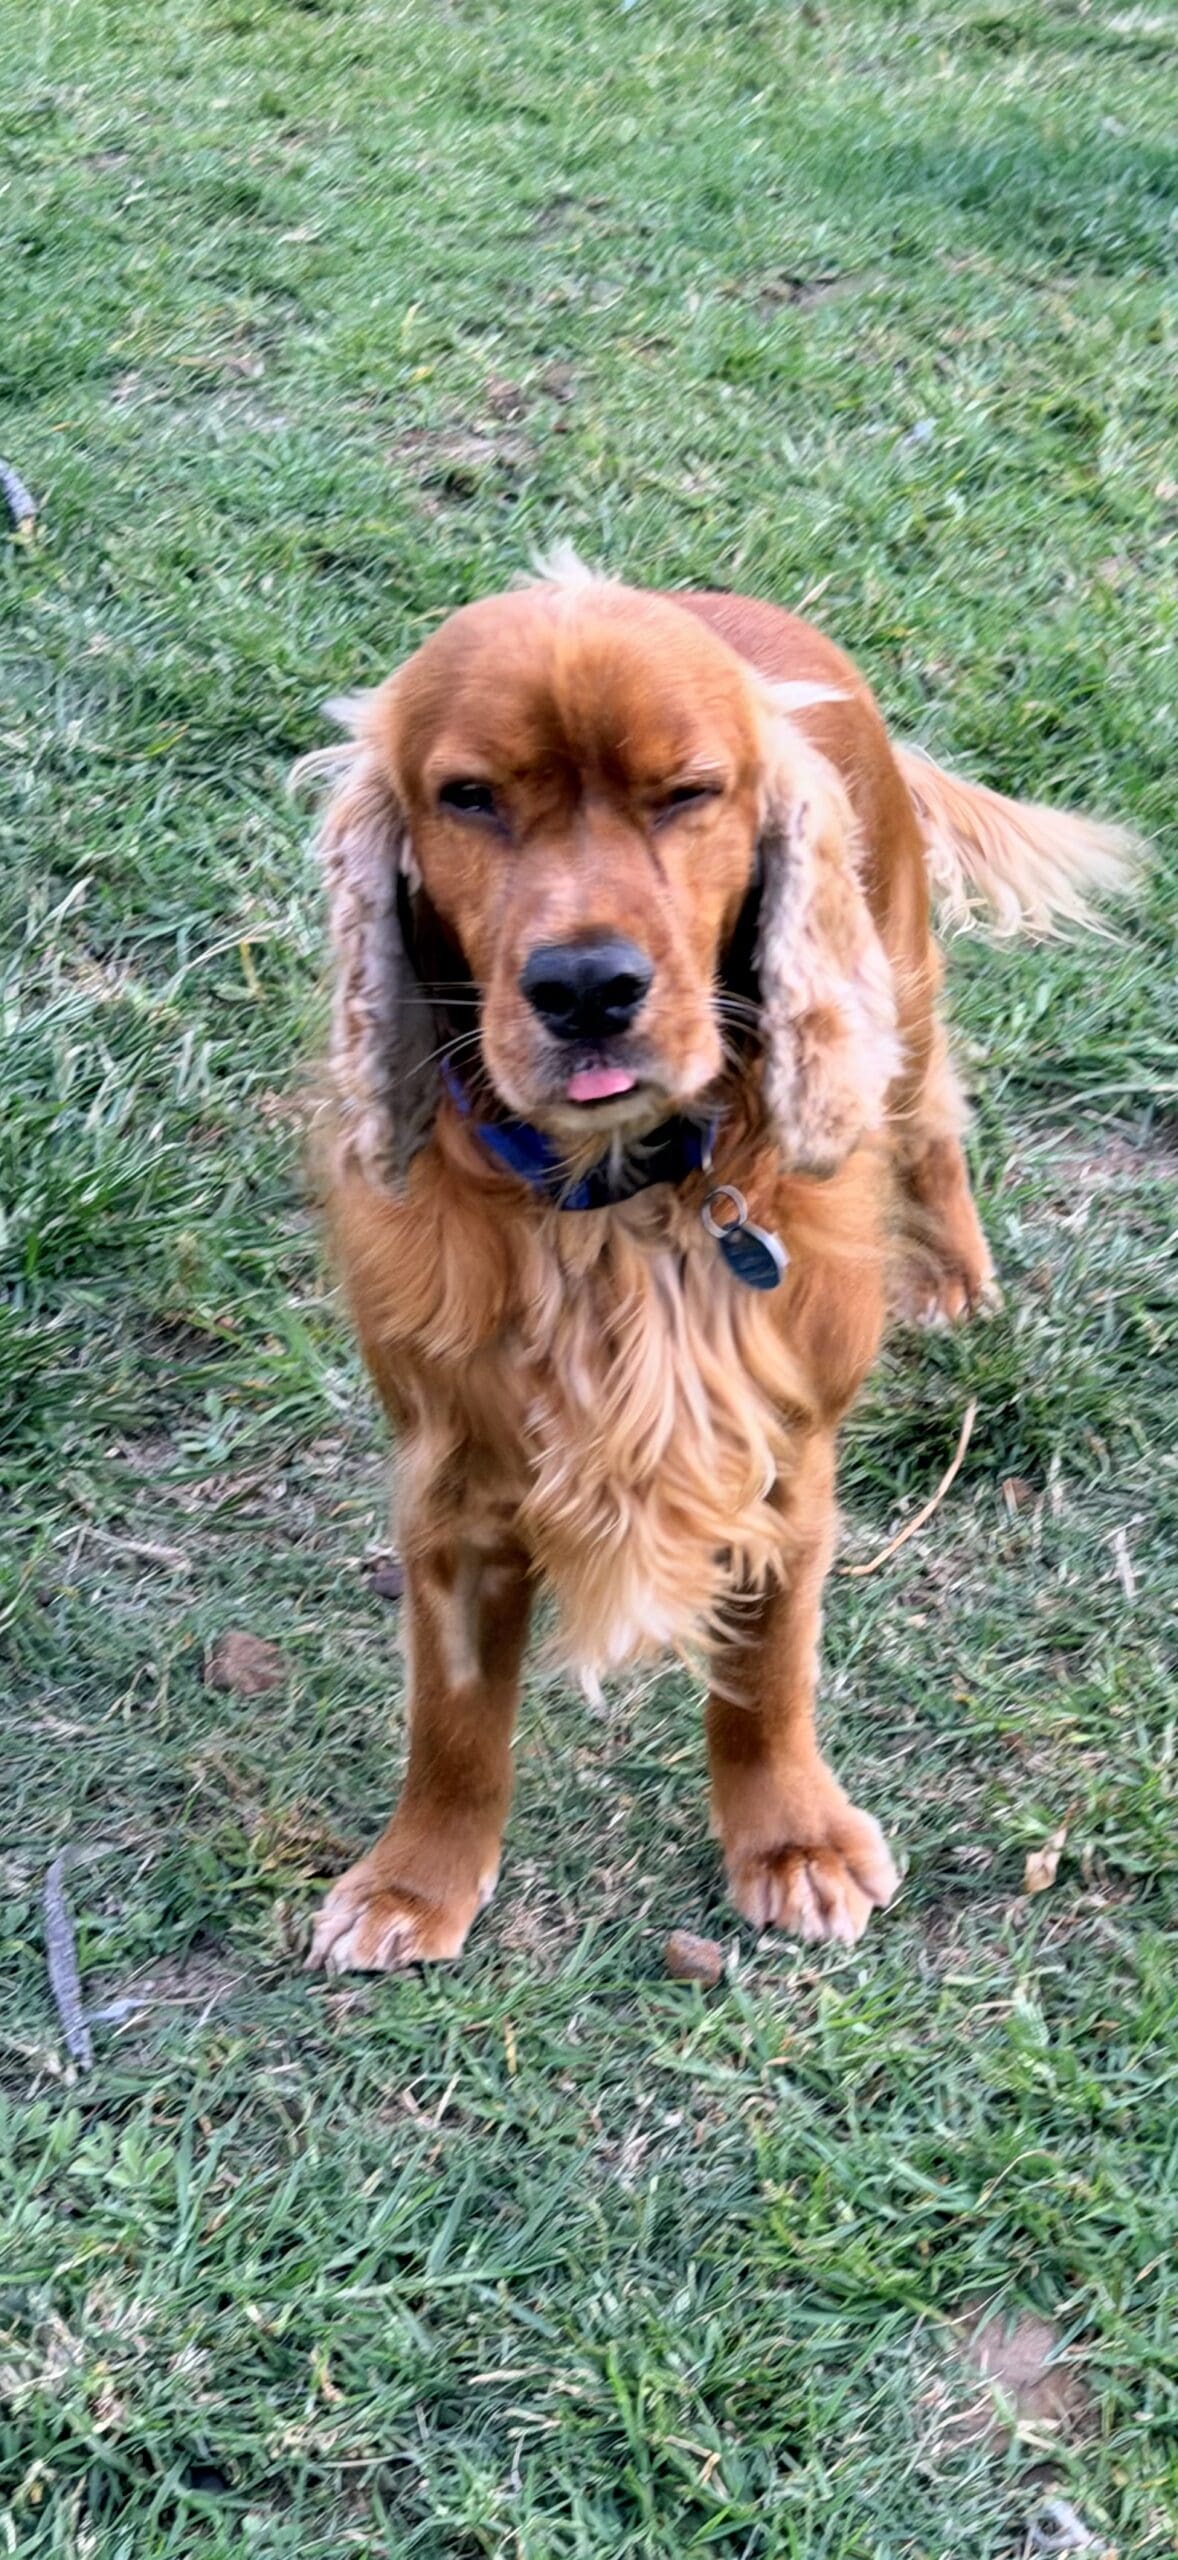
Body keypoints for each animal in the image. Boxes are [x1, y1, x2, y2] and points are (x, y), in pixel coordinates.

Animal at [296, 555, 1135, 1972]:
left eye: (687, 794)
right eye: (468, 798)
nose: (586, 986)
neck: (608, 1199)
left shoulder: (781, 1449)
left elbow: (762, 1672)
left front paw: (789, 1842)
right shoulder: (449, 1472)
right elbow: (451, 1712)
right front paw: (417, 1877)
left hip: (894, 986)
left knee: (929, 1120)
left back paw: (953, 1279)